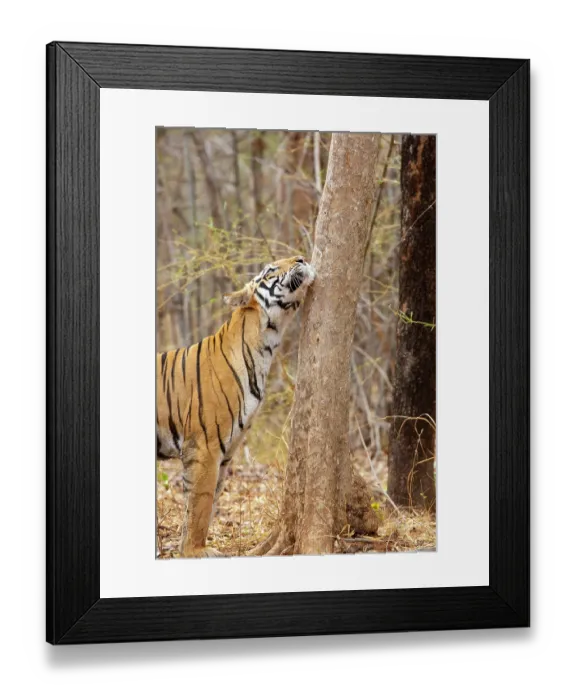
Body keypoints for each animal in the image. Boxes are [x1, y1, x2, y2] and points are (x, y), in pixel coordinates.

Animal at [157, 256, 316, 557]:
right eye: (270, 270)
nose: (302, 258)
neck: (265, 346)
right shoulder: (205, 447)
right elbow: (201, 502)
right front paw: (196, 551)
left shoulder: (227, 449)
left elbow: (206, 501)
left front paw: (185, 549)